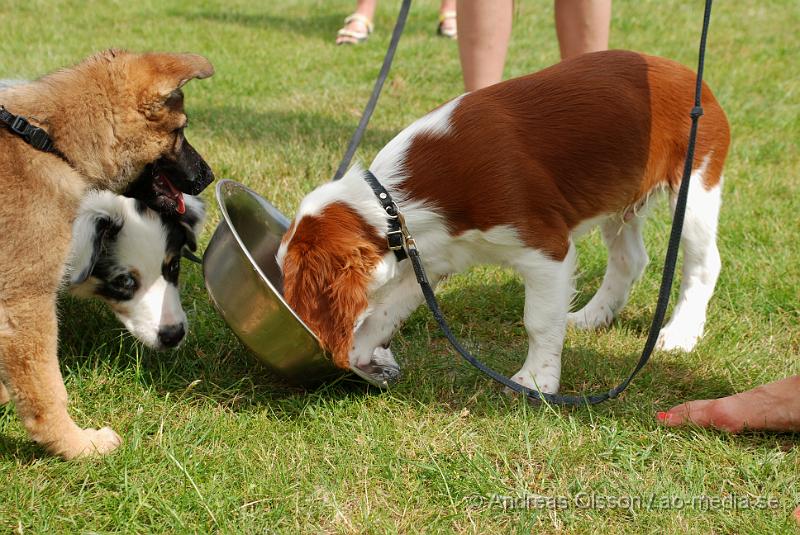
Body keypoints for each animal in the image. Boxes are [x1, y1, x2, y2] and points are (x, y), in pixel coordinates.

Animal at [278, 51, 728, 394]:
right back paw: (592, 316)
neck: (390, 201)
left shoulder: (546, 248)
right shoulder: (430, 256)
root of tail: (691, 77)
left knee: (704, 263)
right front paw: (357, 352)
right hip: (620, 199)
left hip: (695, 183)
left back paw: (681, 332)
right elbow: (387, 309)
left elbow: (538, 321)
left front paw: (537, 380)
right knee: (629, 259)